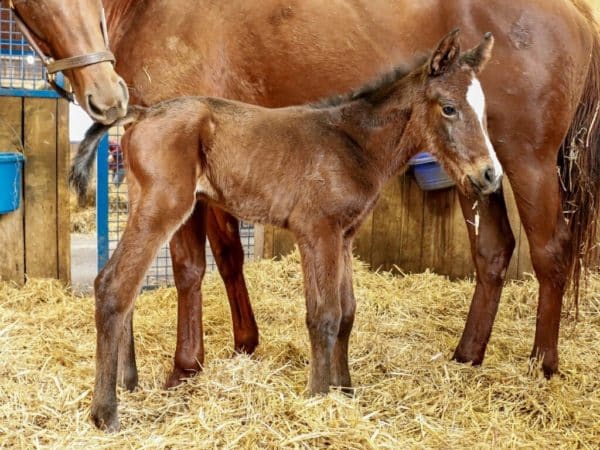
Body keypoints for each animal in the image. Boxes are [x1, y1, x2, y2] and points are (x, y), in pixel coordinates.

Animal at [86, 29, 500, 430]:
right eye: (449, 108)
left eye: (483, 111)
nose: (489, 175)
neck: (353, 144)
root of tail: (142, 114)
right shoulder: (317, 232)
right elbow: (324, 315)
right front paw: (319, 398)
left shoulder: (343, 237)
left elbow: (347, 313)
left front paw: (345, 391)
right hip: (164, 207)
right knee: (113, 285)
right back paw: (105, 413)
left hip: (145, 205)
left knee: (127, 289)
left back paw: (129, 381)